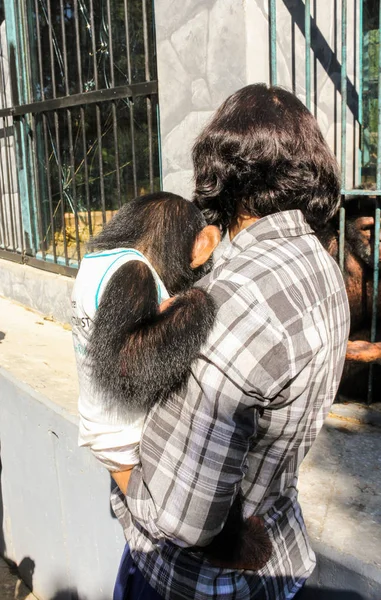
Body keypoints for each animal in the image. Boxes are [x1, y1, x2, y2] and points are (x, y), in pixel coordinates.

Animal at [71, 191, 272, 572]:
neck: (130, 246)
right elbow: (127, 361)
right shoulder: (133, 277)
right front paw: (196, 298)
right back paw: (240, 546)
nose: (207, 267)